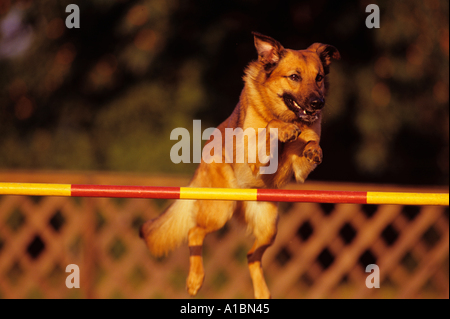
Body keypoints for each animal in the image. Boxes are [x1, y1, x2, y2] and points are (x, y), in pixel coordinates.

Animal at [139, 33, 340, 300]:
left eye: (318, 77)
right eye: (295, 77)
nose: (318, 103)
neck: (283, 113)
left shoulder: (300, 167)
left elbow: (309, 143)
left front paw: (312, 148)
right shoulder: (256, 155)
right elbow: (270, 128)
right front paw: (284, 129)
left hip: (269, 227)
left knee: (251, 256)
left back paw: (262, 292)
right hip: (219, 210)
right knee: (195, 232)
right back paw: (195, 280)